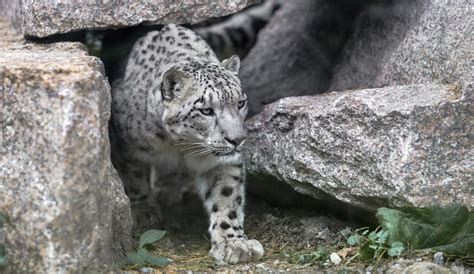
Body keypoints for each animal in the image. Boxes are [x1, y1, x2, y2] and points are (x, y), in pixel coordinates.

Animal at [110, 24, 264, 264]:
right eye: (206, 110)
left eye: (241, 103)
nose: (237, 139)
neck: (179, 146)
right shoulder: (124, 143)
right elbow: (133, 177)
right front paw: (144, 211)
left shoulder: (220, 162)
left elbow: (227, 196)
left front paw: (232, 243)